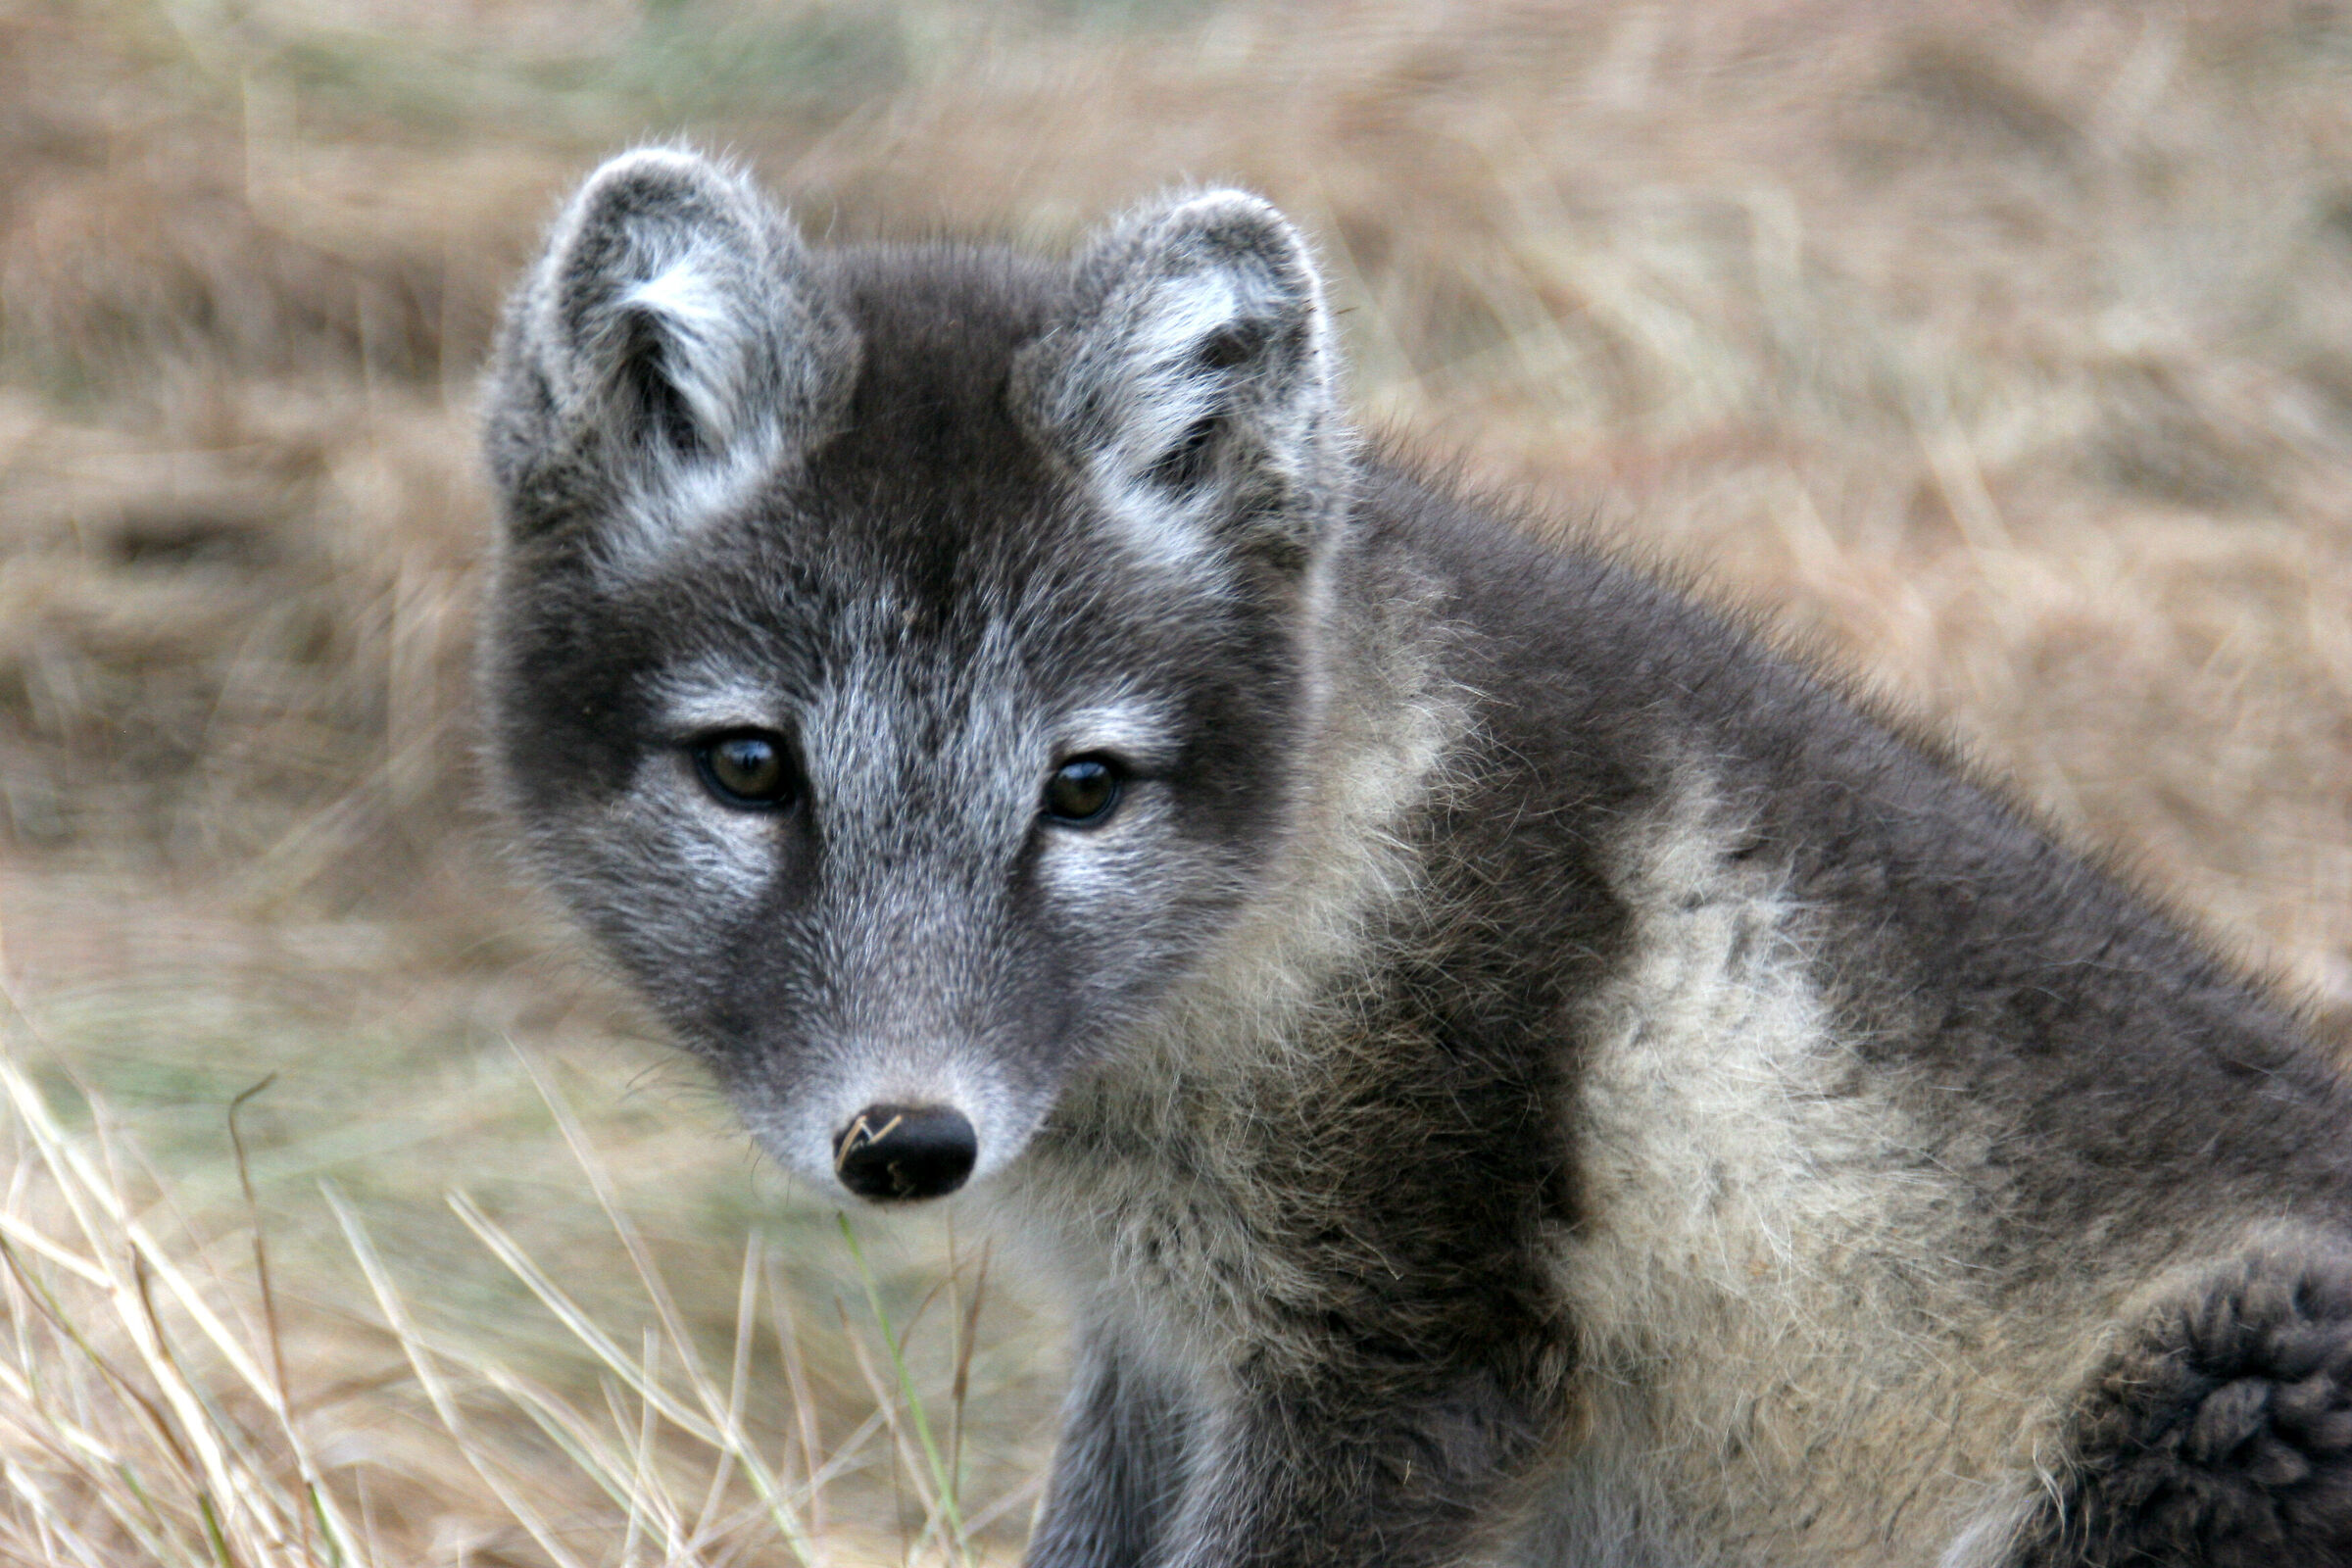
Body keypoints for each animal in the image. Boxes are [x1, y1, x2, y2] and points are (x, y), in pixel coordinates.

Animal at [477, 147, 2352, 1568]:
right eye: (749, 768)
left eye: (1084, 787)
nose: (908, 1142)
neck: (1333, 856)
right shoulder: (1160, 1351)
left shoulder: (1410, 1358)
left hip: (2230, 1373)